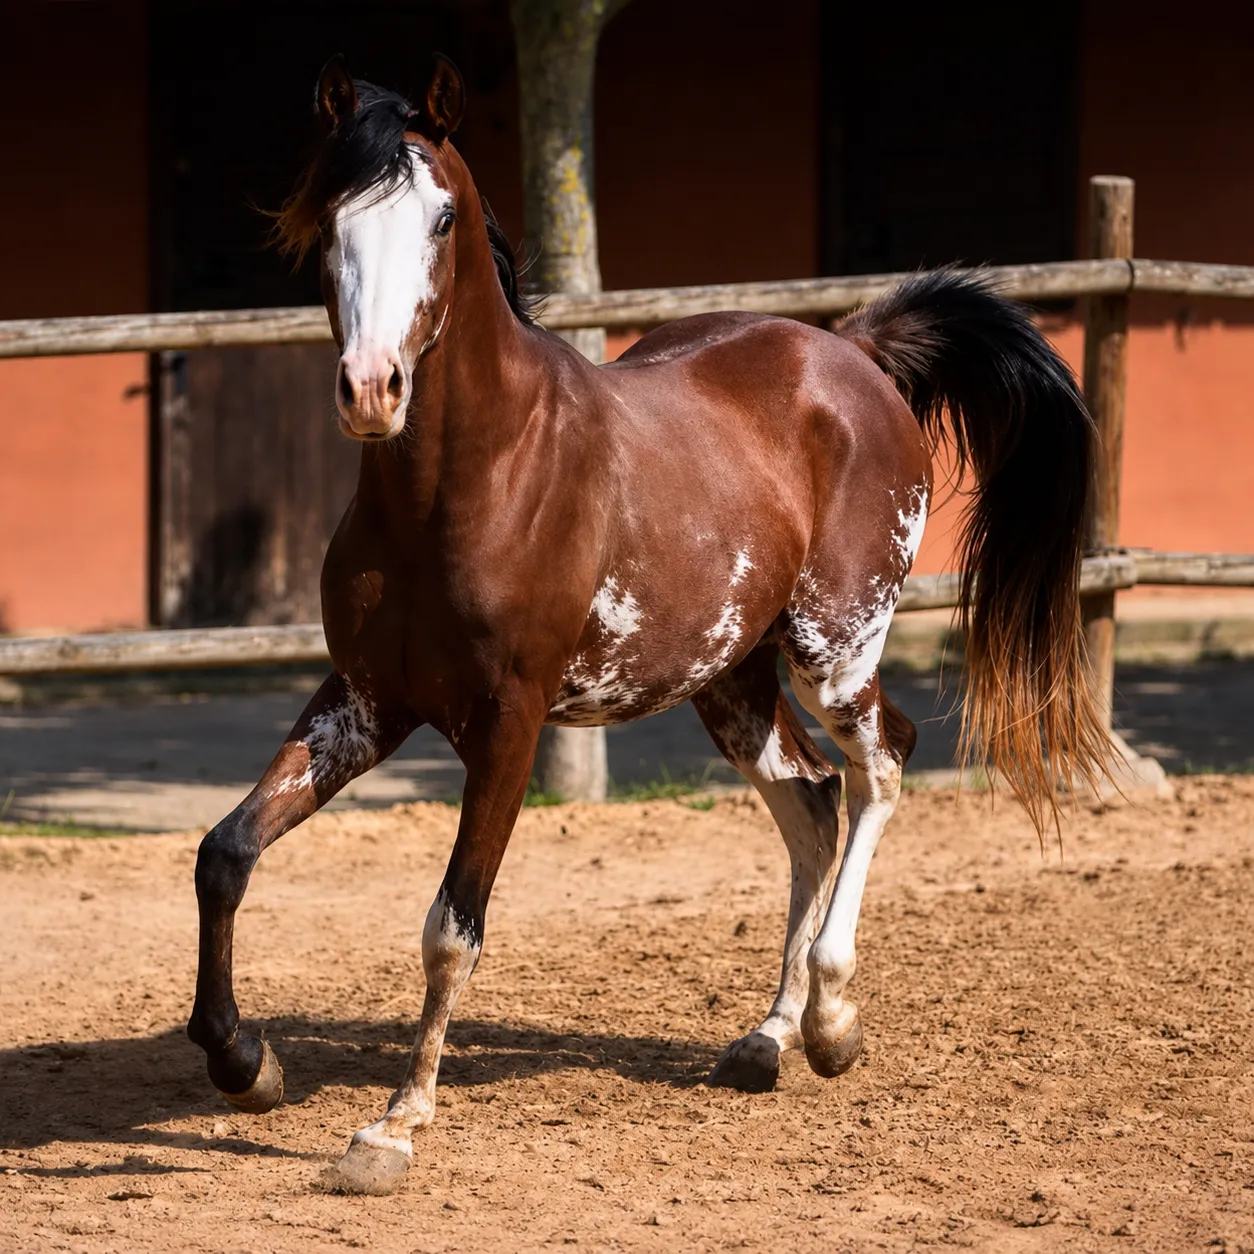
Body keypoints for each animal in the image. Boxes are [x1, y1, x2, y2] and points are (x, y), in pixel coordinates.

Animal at [185, 54, 1108, 1195]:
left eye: (441, 218)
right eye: (329, 221)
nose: (371, 390)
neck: (471, 479)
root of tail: (850, 352)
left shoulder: (508, 723)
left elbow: (452, 927)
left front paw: (391, 1128)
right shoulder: (364, 701)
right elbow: (225, 852)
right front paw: (244, 1063)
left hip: (836, 644)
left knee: (882, 763)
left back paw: (833, 1022)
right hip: (729, 678)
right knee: (812, 800)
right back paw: (767, 1038)